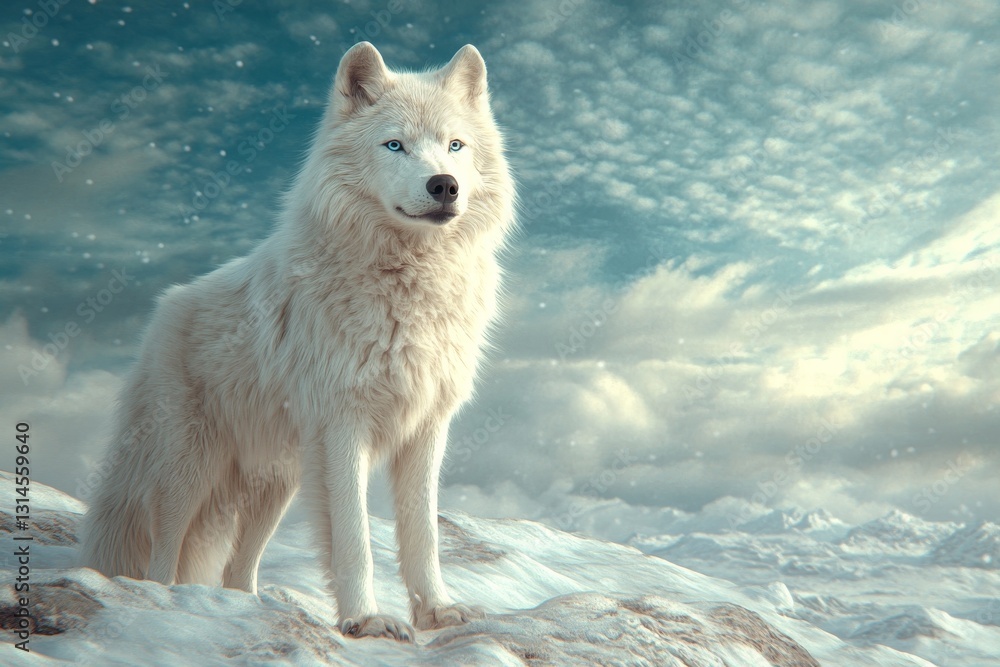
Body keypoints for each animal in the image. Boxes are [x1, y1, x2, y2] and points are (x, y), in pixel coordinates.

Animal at [80, 42, 515, 642]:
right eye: (395, 145)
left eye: (455, 145)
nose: (444, 185)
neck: (407, 288)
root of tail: (163, 310)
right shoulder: (342, 424)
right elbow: (354, 541)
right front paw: (365, 619)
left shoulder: (427, 427)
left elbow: (422, 536)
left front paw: (437, 611)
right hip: (190, 469)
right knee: (163, 550)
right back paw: (166, 599)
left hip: (276, 484)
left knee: (238, 570)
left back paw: (246, 606)